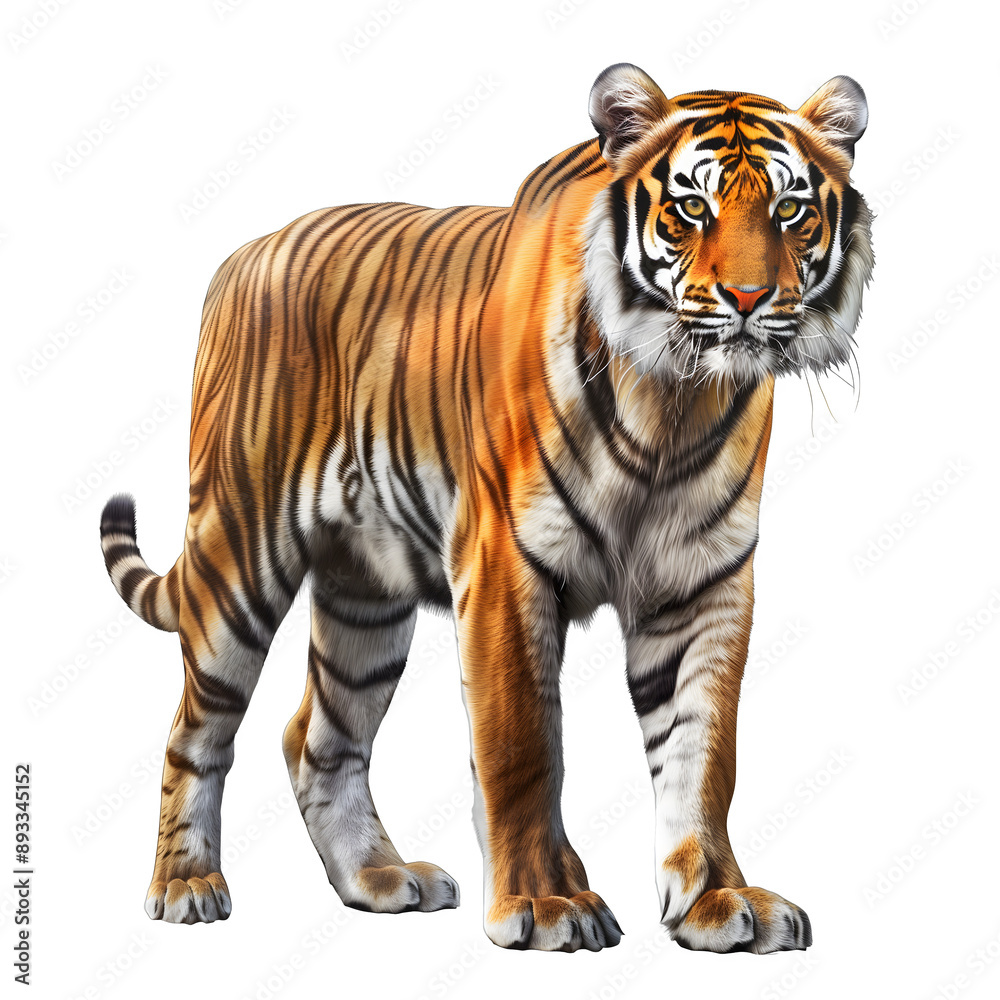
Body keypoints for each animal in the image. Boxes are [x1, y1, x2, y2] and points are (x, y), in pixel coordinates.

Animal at [100, 63, 872, 954]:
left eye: (789, 210)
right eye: (690, 209)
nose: (749, 298)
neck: (671, 403)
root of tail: (242, 254)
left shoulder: (704, 582)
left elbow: (704, 753)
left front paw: (718, 898)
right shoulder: (506, 563)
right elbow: (521, 744)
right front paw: (544, 904)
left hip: (366, 598)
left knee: (318, 736)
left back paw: (379, 879)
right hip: (239, 554)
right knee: (194, 731)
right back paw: (186, 885)